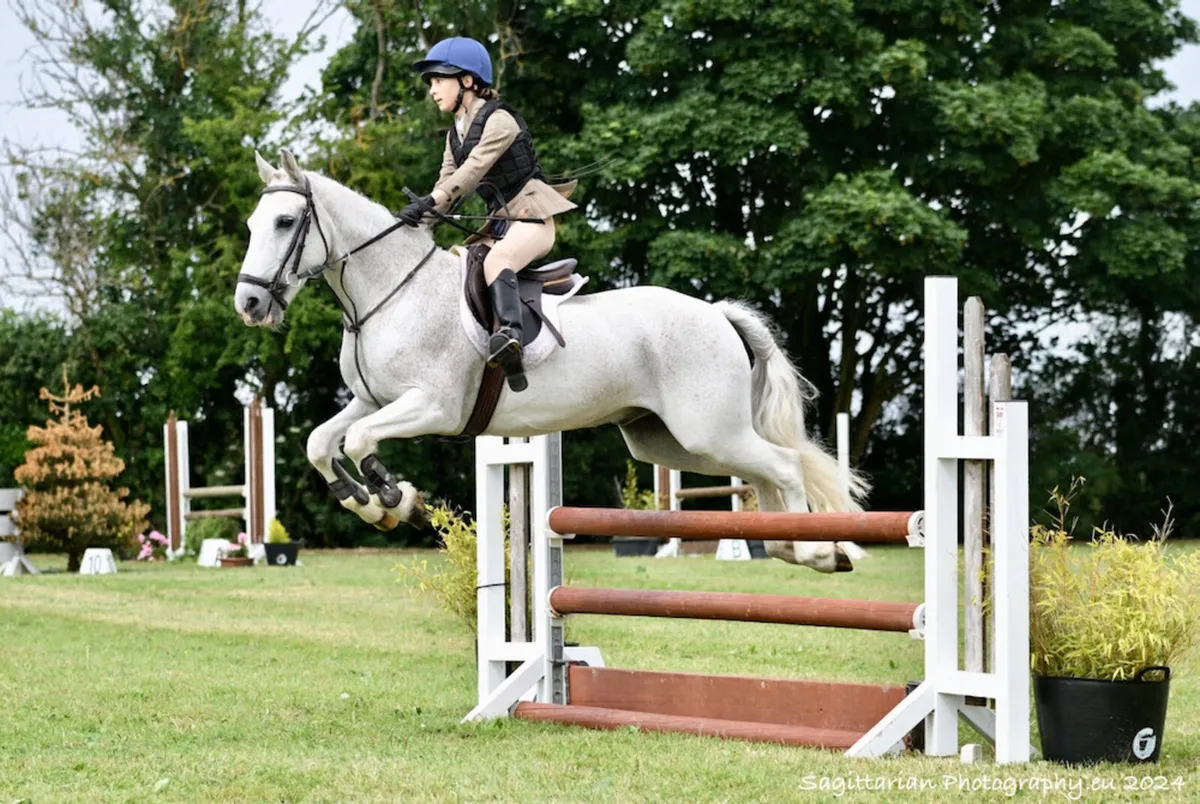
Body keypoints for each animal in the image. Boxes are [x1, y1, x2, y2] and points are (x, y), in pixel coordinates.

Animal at [233, 150, 871, 573]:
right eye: (252, 224)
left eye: (285, 223)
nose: (249, 304)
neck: (391, 290)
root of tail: (716, 314)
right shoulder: (373, 399)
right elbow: (321, 442)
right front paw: (368, 505)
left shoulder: (431, 407)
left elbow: (361, 442)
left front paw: (400, 502)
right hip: (670, 441)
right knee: (767, 470)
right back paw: (787, 545)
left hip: (709, 432)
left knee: (784, 464)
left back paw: (815, 548)